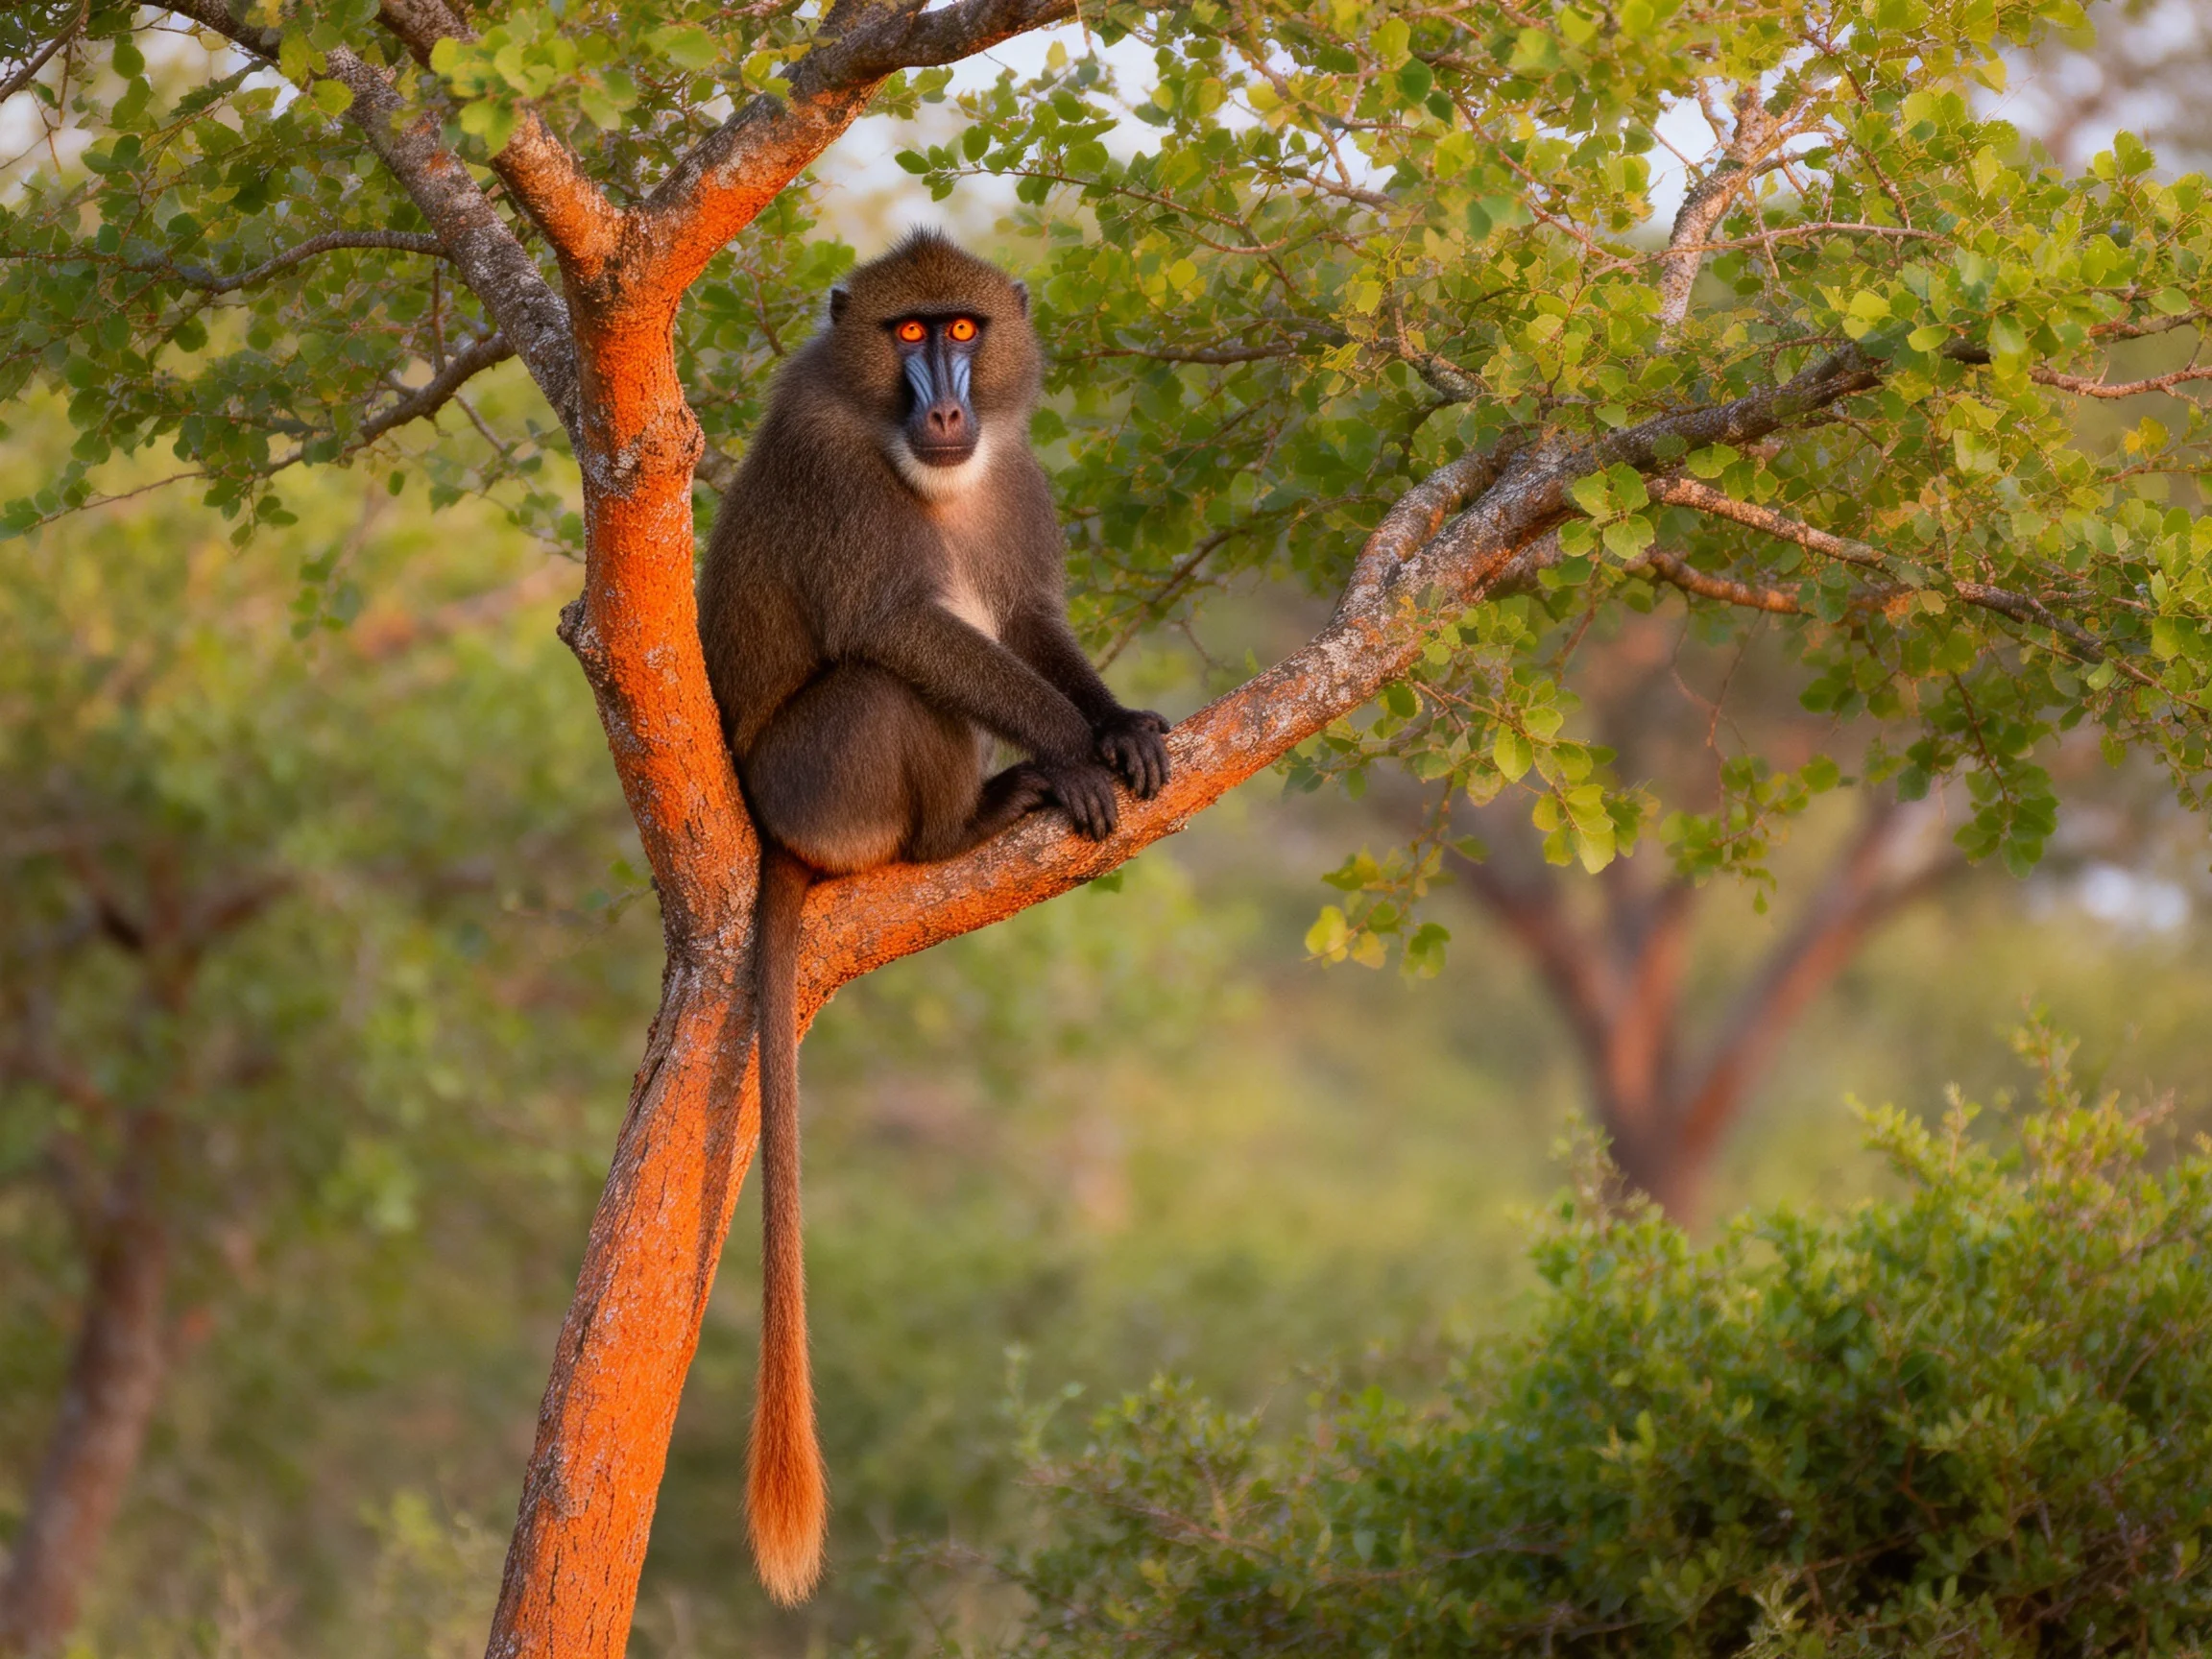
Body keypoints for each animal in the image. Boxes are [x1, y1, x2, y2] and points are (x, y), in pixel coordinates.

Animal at [695, 230, 1172, 1606]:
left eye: (963, 329)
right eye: (907, 338)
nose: (949, 407)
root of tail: (774, 835)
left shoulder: (1014, 479)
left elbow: (1023, 620)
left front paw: (1115, 724)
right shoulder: (831, 459)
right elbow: (904, 626)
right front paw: (1070, 745)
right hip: (823, 783)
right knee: (890, 681)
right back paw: (969, 823)